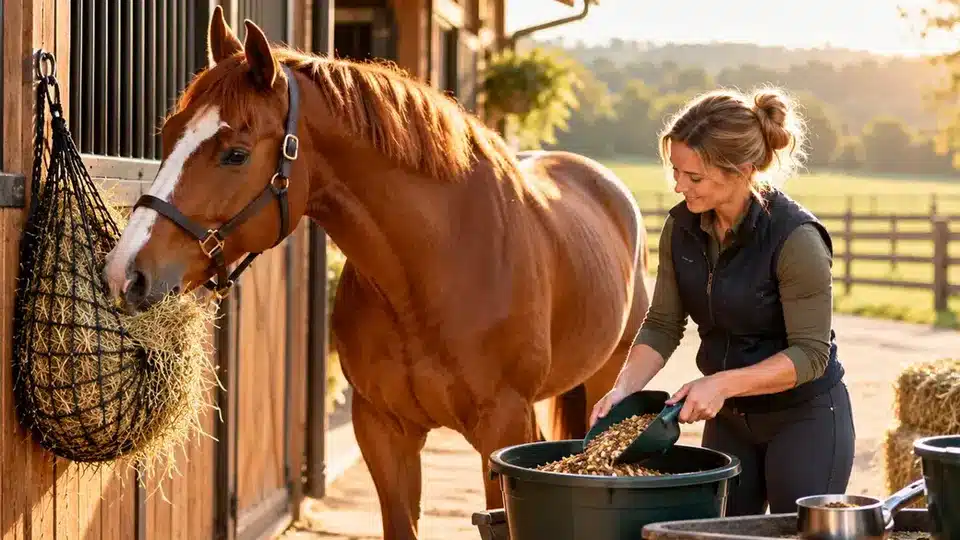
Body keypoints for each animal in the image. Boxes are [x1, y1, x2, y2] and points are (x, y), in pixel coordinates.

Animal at [102, 8, 651, 540]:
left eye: (235, 154)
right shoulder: (383, 431)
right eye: (169, 135)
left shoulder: (501, 429)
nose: (124, 273)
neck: (433, 270)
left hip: (605, 381)